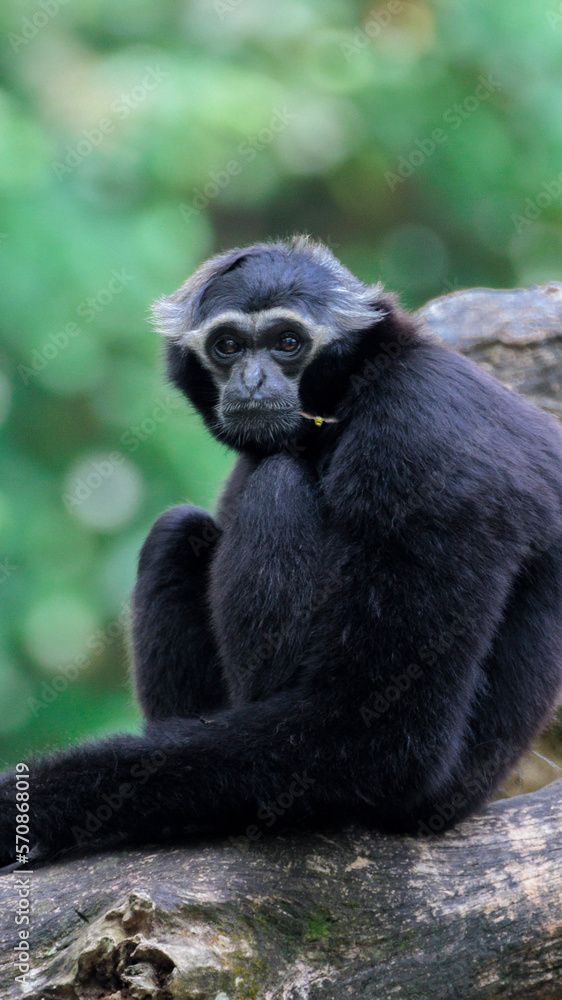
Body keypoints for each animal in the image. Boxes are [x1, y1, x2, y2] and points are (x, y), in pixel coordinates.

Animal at [1, 234, 561, 867]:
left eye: (288, 342)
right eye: (227, 346)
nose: (250, 380)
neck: (356, 390)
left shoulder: (423, 440)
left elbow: (374, 738)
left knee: (278, 485)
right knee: (178, 528)